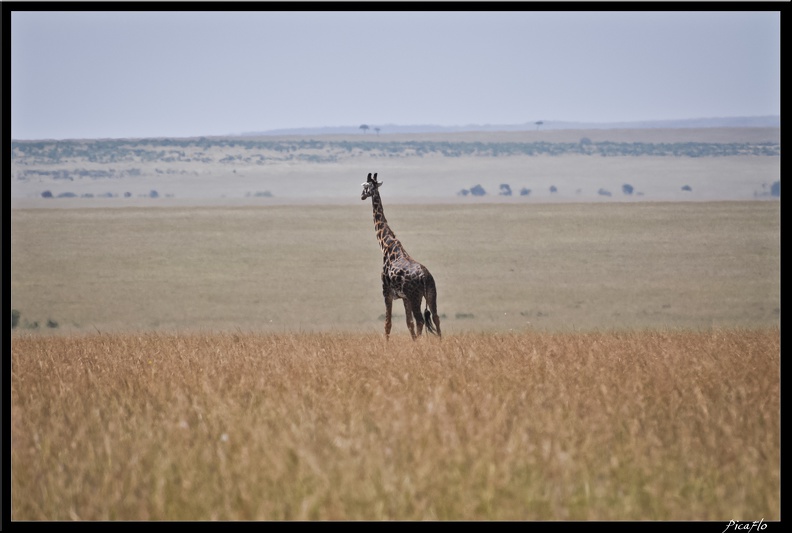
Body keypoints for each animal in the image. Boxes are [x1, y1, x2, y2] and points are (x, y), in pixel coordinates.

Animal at [362, 172, 442, 338]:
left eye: (365, 186)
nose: (361, 196)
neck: (386, 246)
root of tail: (425, 277)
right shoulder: (404, 297)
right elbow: (408, 323)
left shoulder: (386, 292)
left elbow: (388, 324)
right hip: (431, 293)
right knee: (436, 317)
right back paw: (440, 341)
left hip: (415, 296)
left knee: (421, 320)